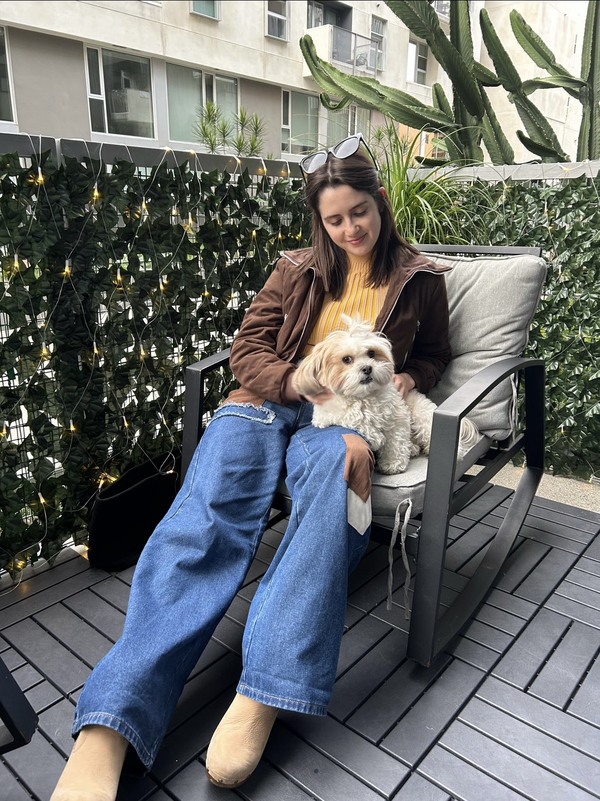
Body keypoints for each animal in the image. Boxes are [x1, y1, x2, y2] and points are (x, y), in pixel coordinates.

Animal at [293, 316, 479, 474]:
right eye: (346, 359)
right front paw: (374, 436)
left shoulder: (399, 418)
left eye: (371, 353)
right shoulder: (326, 418)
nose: (367, 368)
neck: (363, 398)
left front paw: (392, 464)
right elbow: (354, 420)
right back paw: (412, 448)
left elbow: (395, 442)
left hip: (422, 415)